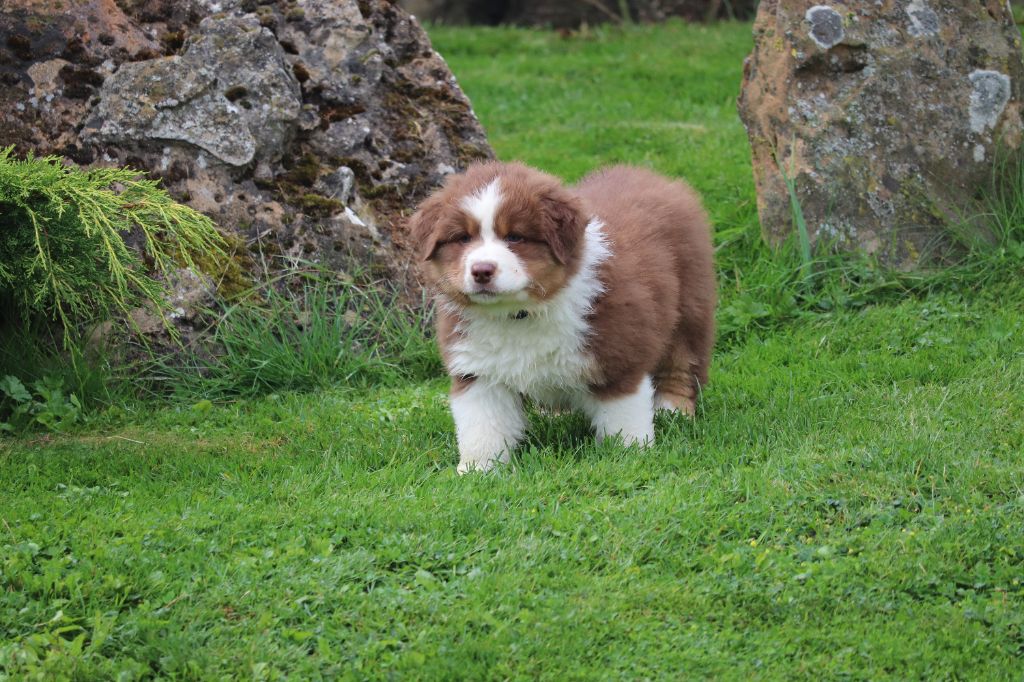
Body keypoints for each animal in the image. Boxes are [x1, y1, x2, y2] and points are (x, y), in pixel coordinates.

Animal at [409, 161, 716, 473]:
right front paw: (476, 471)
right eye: (463, 238)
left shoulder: (617, 355)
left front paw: (630, 457)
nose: (482, 270)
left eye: (515, 237)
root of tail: (654, 177)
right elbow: (482, 428)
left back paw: (672, 411)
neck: (518, 315)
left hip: (690, 306)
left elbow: (622, 419)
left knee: (682, 365)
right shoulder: (478, 371)